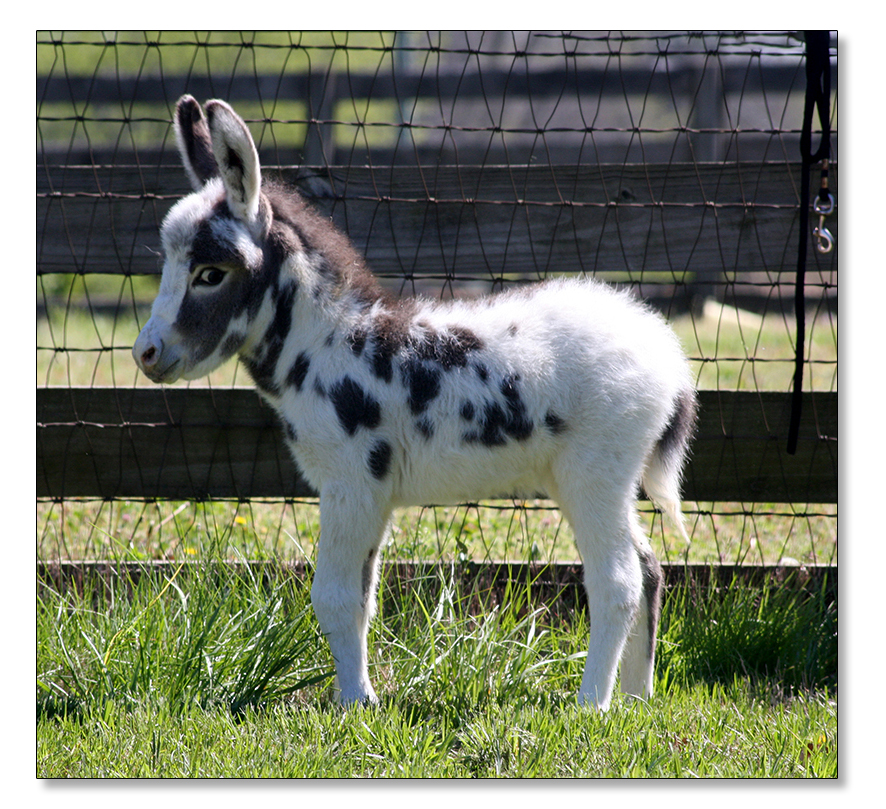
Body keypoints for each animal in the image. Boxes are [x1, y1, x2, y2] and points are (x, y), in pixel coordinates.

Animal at [133, 96, 697, 710]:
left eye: (211, 274)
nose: (145, 354)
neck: (330, 342)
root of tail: (667, 354)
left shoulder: (351, 483)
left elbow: (332, 597)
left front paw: (354, 706)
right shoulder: (373, 495)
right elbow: (362, 600)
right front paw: (359, 698)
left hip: (593, 476)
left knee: (618, 581)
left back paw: (591, 705)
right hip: (596, 481)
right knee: (650, 570)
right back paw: (637, 700)